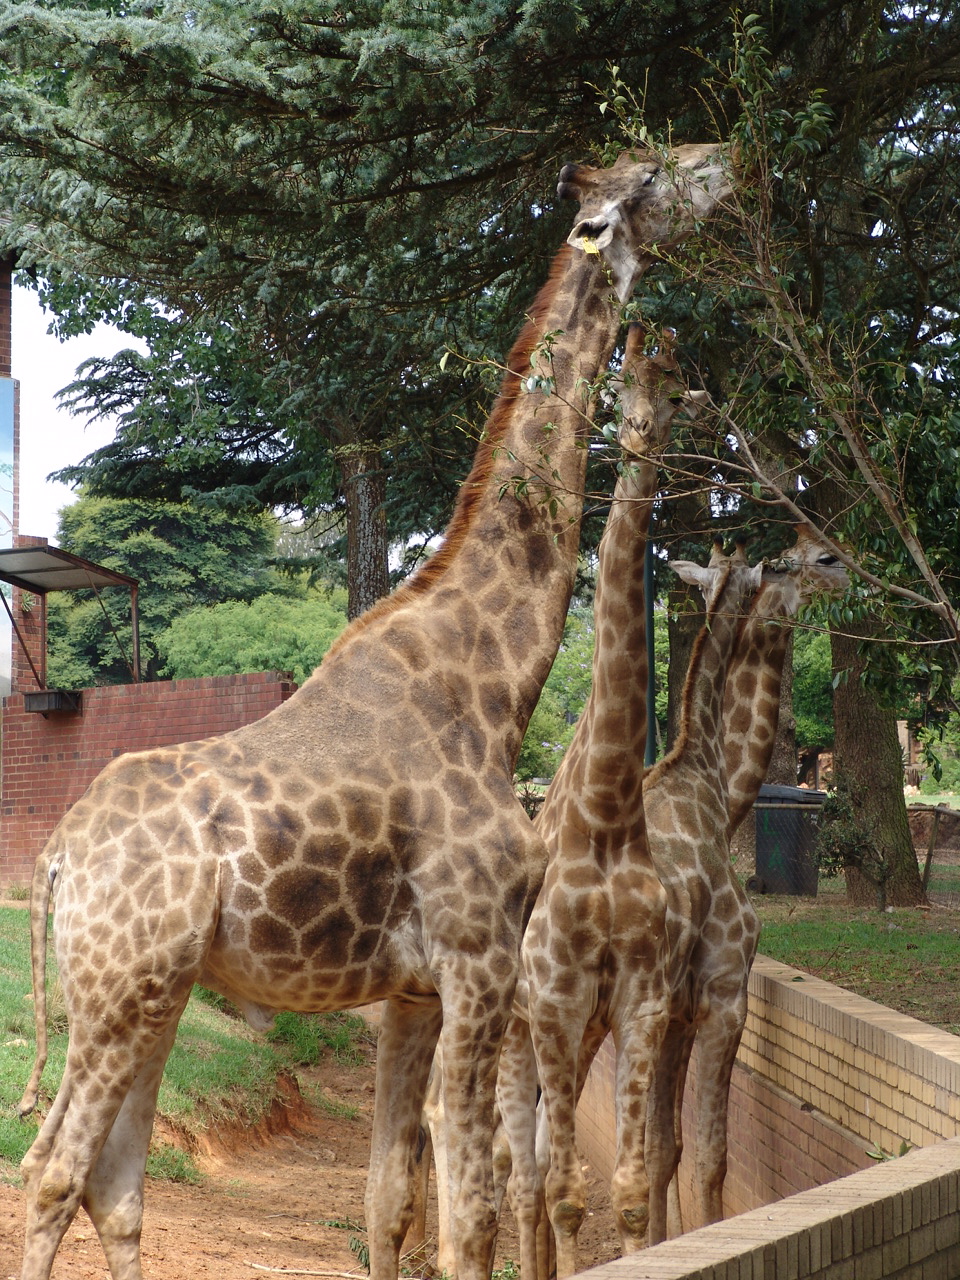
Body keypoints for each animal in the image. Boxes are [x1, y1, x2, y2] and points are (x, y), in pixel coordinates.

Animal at [16, 141, 733, 1280]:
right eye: (657, 174)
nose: (738, 161)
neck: (494, 680)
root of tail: (57, 860)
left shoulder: (413, 990)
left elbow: (394, 1197)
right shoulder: (480, 961)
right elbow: (472, 1209)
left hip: (153, 991)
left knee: (112, 1180)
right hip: (122, 985)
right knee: (51, 1173)